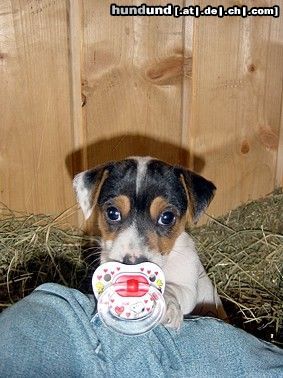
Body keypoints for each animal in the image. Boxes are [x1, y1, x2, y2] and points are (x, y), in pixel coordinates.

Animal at [74, 157, 229, 328]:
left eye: (167, 217)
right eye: (112, 213)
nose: (132, 263)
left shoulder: (188, 288)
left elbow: (170, 289)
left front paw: (167, 306)